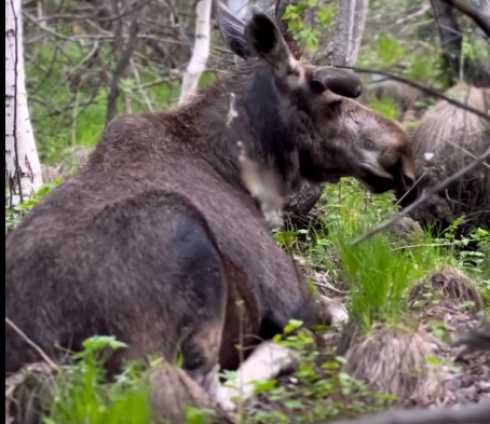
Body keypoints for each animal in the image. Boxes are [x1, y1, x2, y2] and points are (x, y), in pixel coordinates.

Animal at [5, 1, 416, 416]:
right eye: (331, 103)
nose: (402, 153)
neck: (238, 167)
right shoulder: (289, 293)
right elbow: (341, 310)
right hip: (177, 245)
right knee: (207, 393)